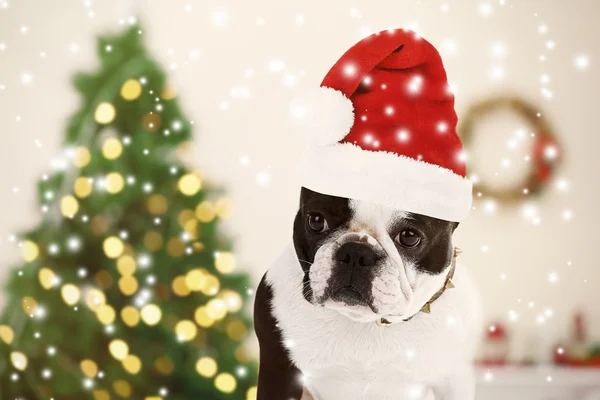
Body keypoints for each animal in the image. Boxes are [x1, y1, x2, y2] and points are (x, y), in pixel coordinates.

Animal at [254, 188, 482, 400]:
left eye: (409, 237)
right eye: (317, 221)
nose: (356, 253)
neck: (363, 320)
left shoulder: (454, 382)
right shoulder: (279, 372)